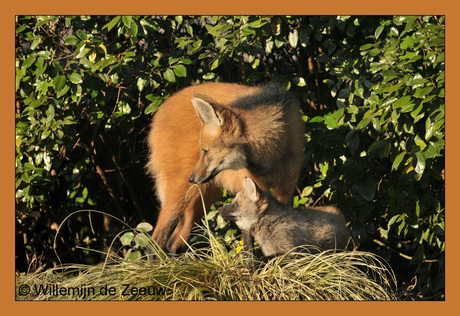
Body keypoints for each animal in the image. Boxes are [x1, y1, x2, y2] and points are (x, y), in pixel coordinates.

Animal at [148, 82, 306, 254]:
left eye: (205, 151)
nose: (192, 178)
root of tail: (163, 105)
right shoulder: (251, 190)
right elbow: (248, 243)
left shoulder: (286, 188)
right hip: (182, 191)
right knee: (155, 240)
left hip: (205, 193)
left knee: (174, 242)